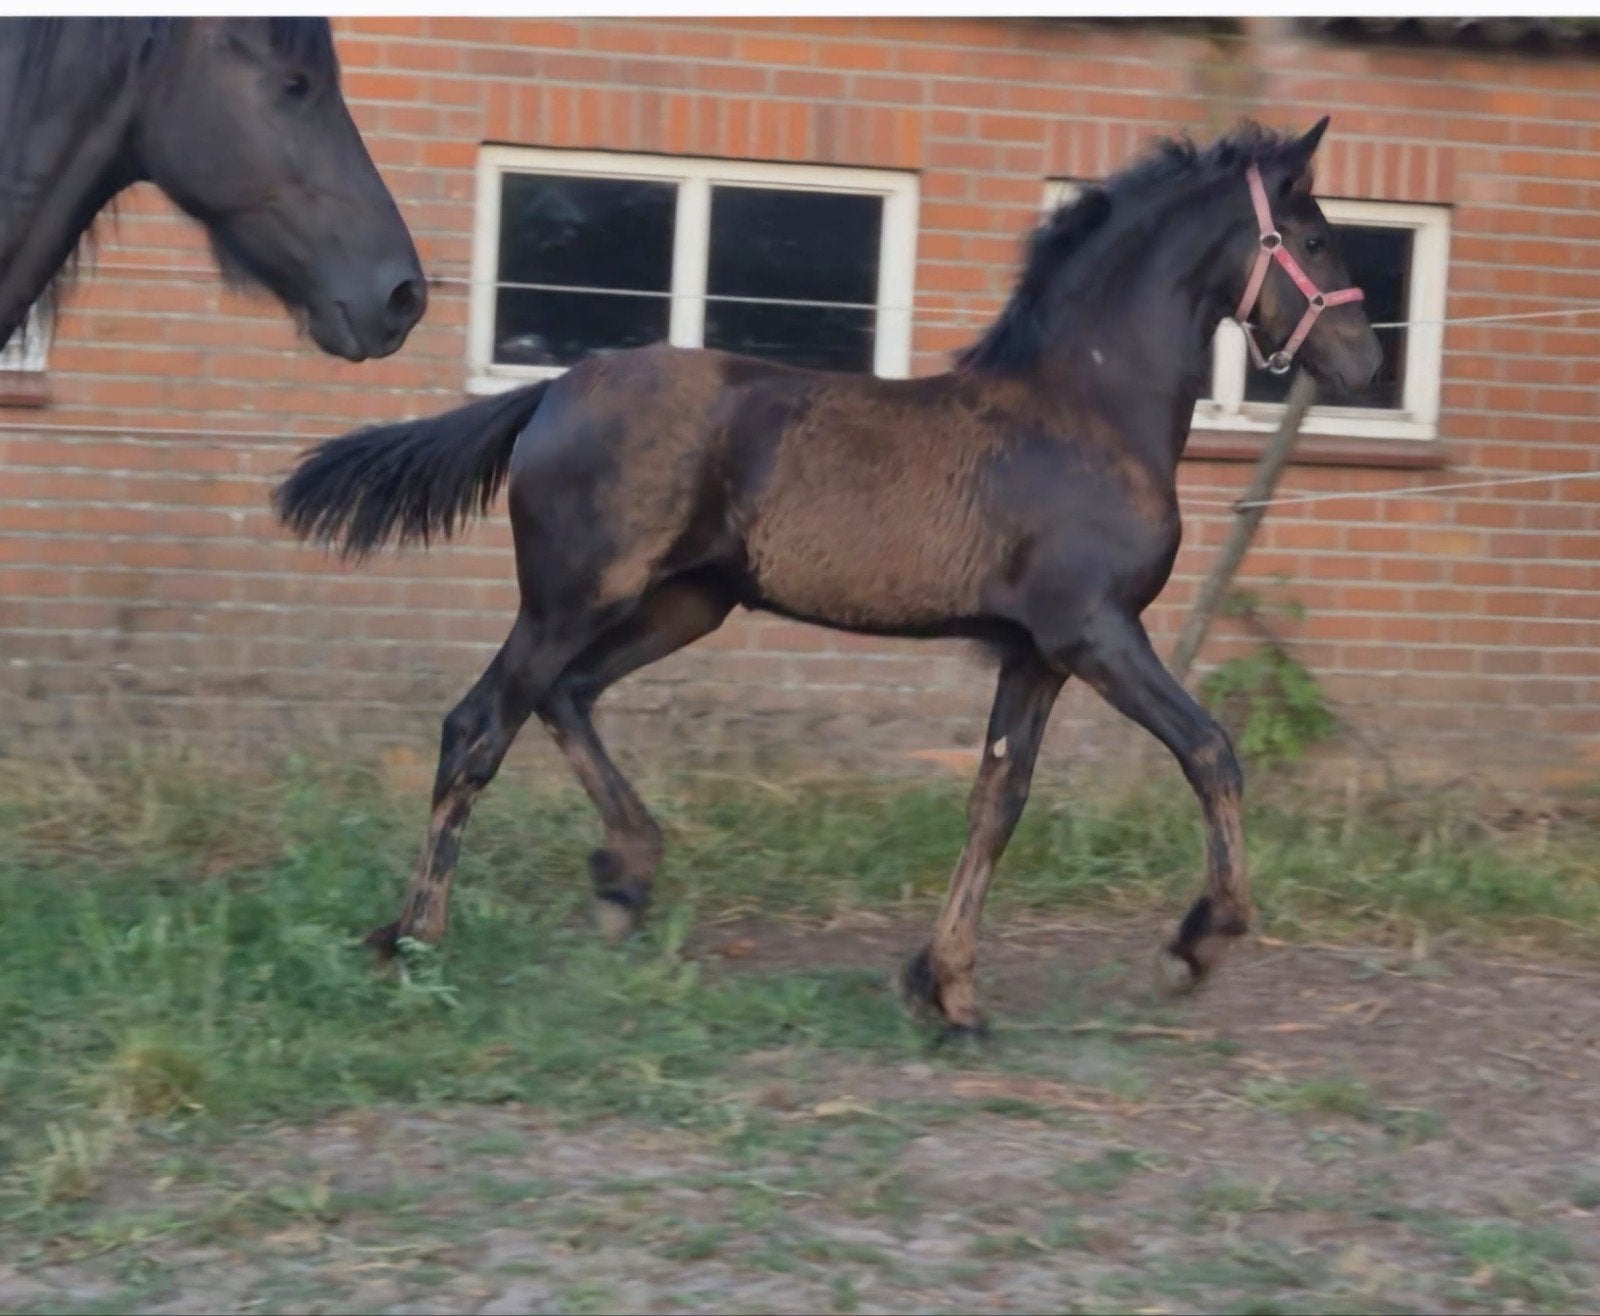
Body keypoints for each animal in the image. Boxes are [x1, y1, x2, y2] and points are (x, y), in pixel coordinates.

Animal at [275, 118, 1381, 1033]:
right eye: (1316, 238)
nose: (1364, 362)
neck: (1086, 407)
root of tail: (550, 389)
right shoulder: (1095, 630)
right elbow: (1210, 751)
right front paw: (1193, 945)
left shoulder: (1033, 652)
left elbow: (998, 801)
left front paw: (945, 988)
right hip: (573, 596)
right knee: (478, 723)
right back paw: (412, 937)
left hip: (684, 602)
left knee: (565, 693)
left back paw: (624, 876)